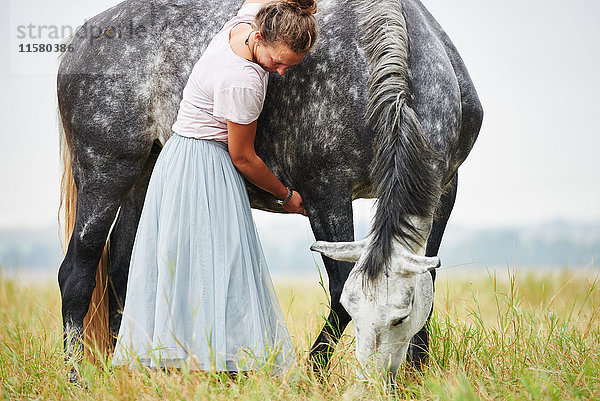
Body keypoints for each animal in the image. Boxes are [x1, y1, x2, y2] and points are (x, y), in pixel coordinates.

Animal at [56, 0, 482, 376]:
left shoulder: (443, 189)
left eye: (400, 317)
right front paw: (314, 371)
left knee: (121, 270)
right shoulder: (325, 195)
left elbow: (429, 282)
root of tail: (83, 39)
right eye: (357, 307)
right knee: (77, 272)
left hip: (142, 177)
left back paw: (128, 371)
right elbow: (339, 288)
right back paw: (77, 375)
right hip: (106, 173)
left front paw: (417, 373)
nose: (374, 380)